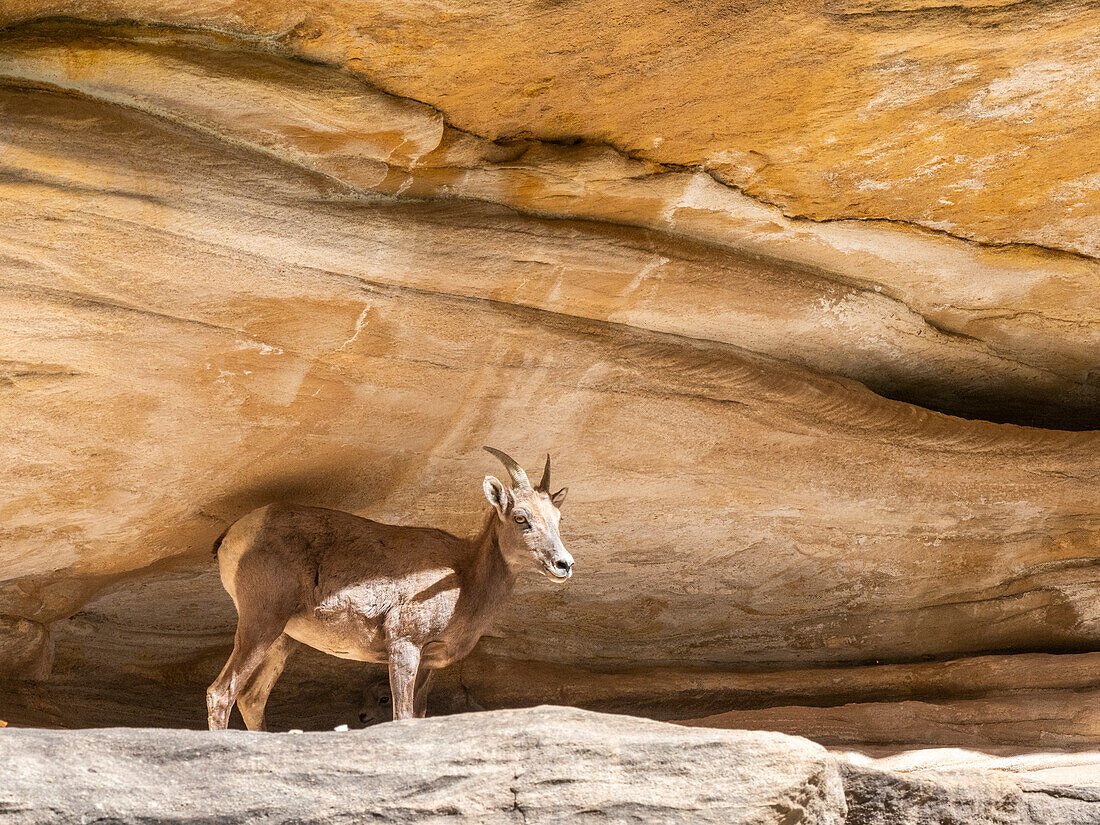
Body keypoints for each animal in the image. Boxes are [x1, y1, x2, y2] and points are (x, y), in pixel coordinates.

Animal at [206, 453, 572, 730]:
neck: (464, 578)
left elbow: (417, 716)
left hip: (283, 639)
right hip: (261, 621)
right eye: (521, 518)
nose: (564, 564)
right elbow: (402, 716)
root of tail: (233, 536)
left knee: (251, 698)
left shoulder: (427, 664)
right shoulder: (404, 646)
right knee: (221, 692)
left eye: (557, 518)